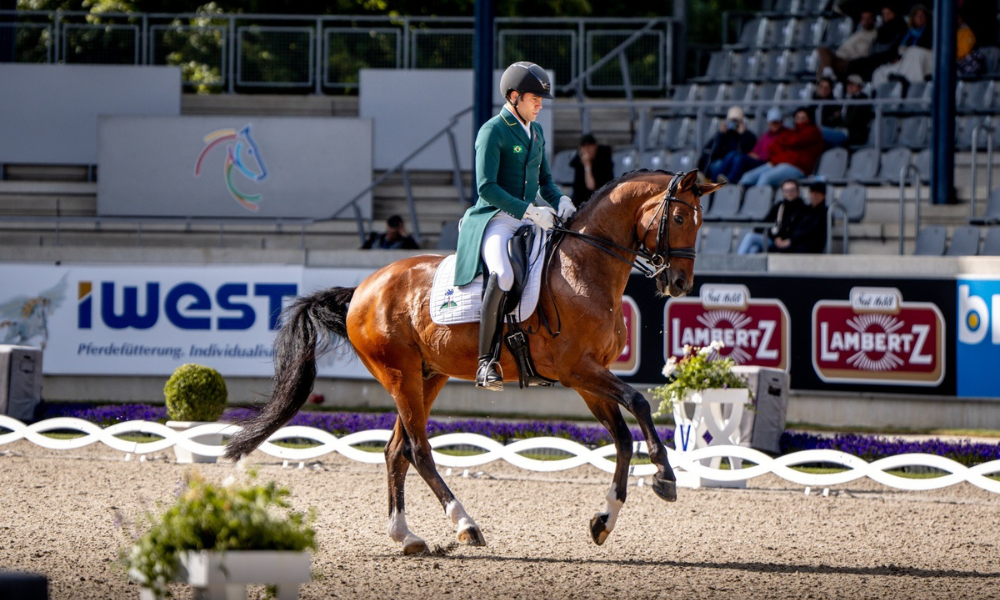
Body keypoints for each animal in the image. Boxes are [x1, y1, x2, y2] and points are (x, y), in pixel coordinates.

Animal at [224, 169, 724, 552]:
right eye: (679, 216)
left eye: (701, 223)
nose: (680, 283)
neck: (585, 267)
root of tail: (363, 287)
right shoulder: (577, 370)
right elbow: (639, 404)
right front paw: (666, 476)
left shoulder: (587, 379)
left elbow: (621, 438)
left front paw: (605, 520)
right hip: (398, 374)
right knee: (418, 449)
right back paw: (464, 525)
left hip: (427, 377)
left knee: (395, 451)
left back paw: (407, 536)